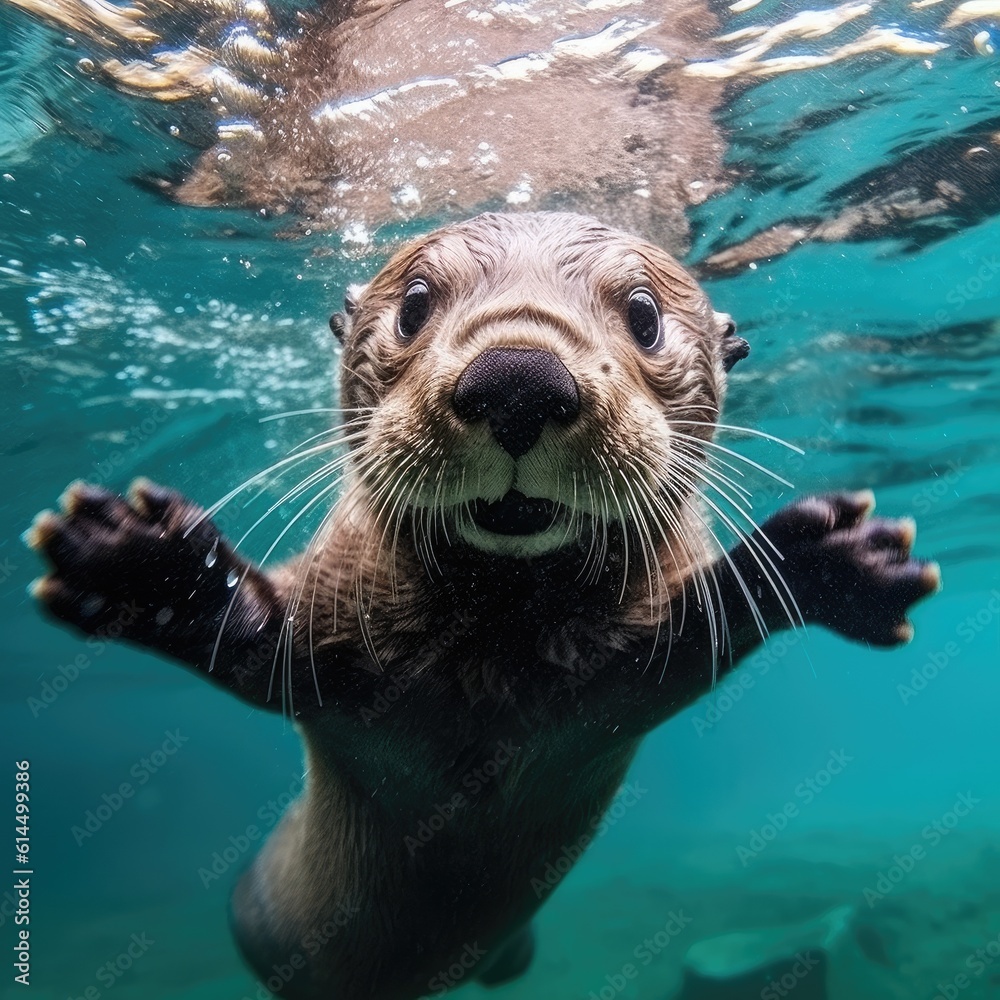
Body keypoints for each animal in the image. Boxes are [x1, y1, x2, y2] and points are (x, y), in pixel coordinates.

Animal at [27, 213, 940, 1000]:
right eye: (414, 305)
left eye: (644, 316)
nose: (518, 379)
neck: (488, 673)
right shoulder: (336, 637)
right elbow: (254, 642)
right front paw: (143, 566)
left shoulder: (626, 675)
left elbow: (700, 633)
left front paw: (834, 561)